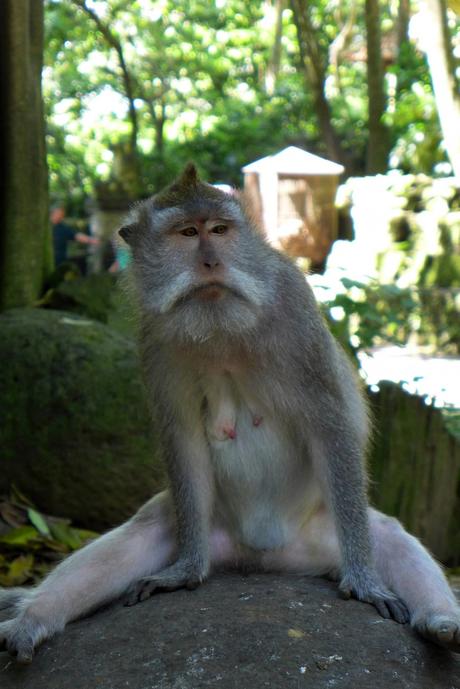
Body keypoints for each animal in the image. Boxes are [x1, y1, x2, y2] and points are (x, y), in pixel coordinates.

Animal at [0, 161, 460, 660]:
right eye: (187, 233)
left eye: (219, 230)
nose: (211, 262)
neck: (220, 328)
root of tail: (263, 557)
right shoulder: (155, 340)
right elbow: (182, 439)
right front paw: (185, 570)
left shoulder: (296, 311)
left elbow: (329, 426)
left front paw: (363, 580)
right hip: (207, 528)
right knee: (143, 531)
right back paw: (31, 619)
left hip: (323, 537)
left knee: (392, 538)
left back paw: (441, 622)